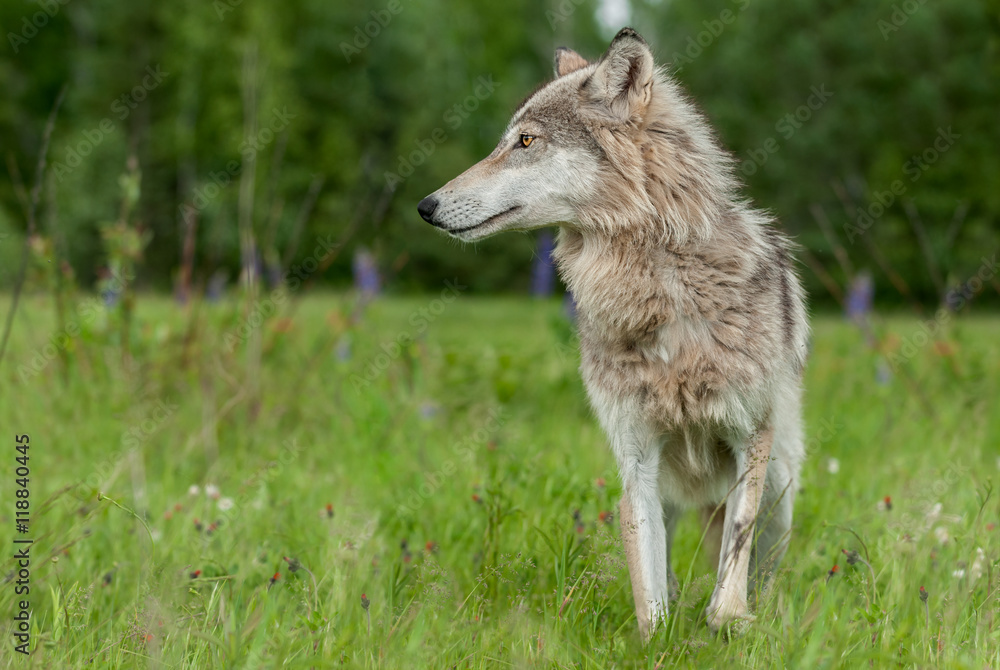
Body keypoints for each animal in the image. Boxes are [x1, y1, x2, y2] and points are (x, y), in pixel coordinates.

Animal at [418, 28, 808, 639]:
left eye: (525, 141)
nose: (425, 205)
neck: (662, 290)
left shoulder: (751, 440)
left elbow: (729, 578)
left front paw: (727, 622)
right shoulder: (636, 461)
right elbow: (650, 599)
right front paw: (660, 640)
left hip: (780, 494)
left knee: (760, 569)